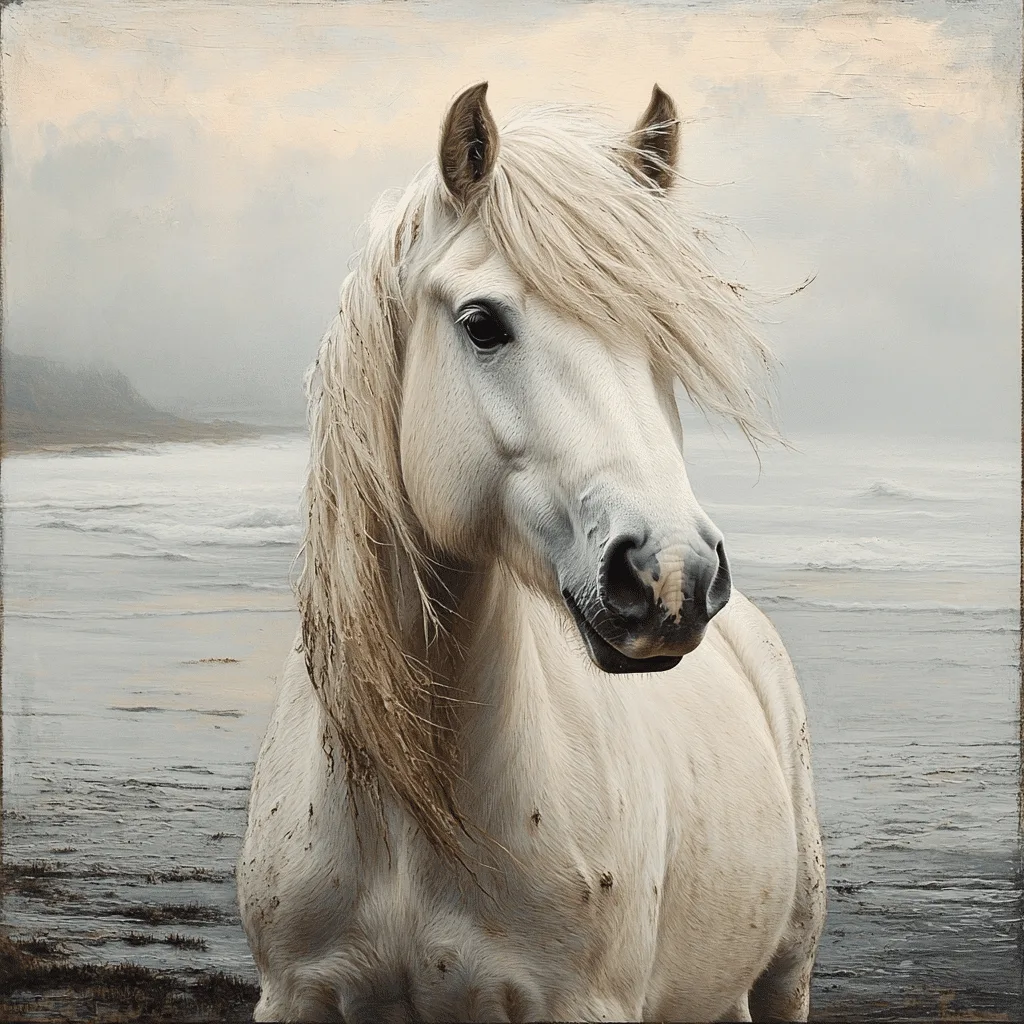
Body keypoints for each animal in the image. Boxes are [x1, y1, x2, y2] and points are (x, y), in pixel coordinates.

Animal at [238, 83, 826, 1023]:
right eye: (483, 324)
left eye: (665, 339)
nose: (673, 578)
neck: (417, 819)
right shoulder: (294, 995)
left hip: (785, 968)